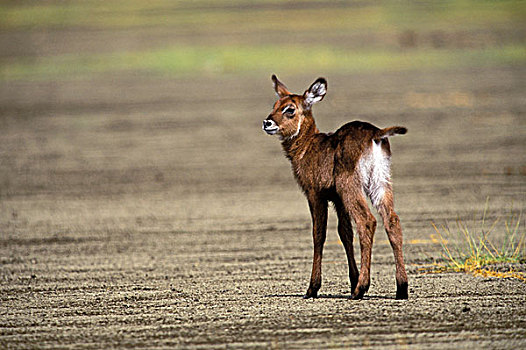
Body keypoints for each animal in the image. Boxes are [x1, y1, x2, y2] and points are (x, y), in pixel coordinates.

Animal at [266, 75, 410, 300]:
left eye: (289, 109)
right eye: (274, 105)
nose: (267, 122)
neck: (308, 147)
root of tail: (376, 134)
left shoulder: (316, 195)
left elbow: (319, 234)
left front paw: (313, 288)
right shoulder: (337, 199)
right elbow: (345, 233)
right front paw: (352, 280)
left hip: (350, 186)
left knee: (367, 221)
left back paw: (361, 289)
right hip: (380, 183)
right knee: (392, 220)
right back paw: (401, 288)